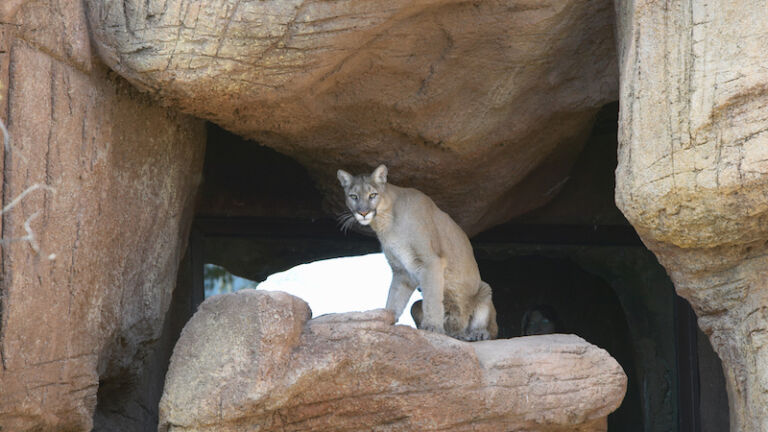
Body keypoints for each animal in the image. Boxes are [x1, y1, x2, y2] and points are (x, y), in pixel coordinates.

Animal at [338, 165, 498, 340]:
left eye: (372, 195)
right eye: (353, 196)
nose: (363, 212)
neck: (385, 222)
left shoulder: (430, 261)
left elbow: (432, 297)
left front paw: (432, 327)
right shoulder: (402, 271)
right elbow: (394, 297)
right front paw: (386, 320)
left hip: (485, 289)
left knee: (490, 329)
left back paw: (476, 334)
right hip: (416, 305)